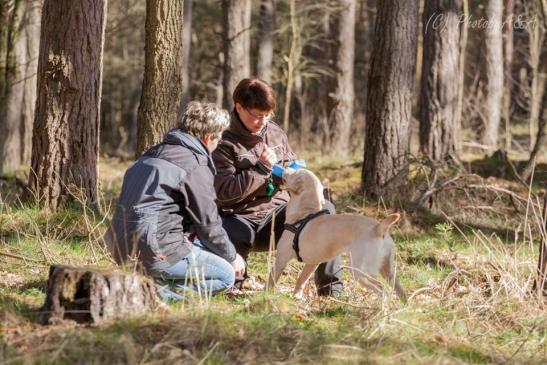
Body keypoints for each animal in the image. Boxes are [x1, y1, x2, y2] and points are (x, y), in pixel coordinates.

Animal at [268, 168, 404, 298]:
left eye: (294, 171)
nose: (284, 166)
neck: (304, 214)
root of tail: (378, 227)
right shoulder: (312, 263)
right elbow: (301, 280)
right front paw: (296, 297)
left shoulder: (281, 259)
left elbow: (272, 279)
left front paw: (266, 295)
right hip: (388, 271)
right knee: (399, 291)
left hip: (361, 272)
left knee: (382, 289)